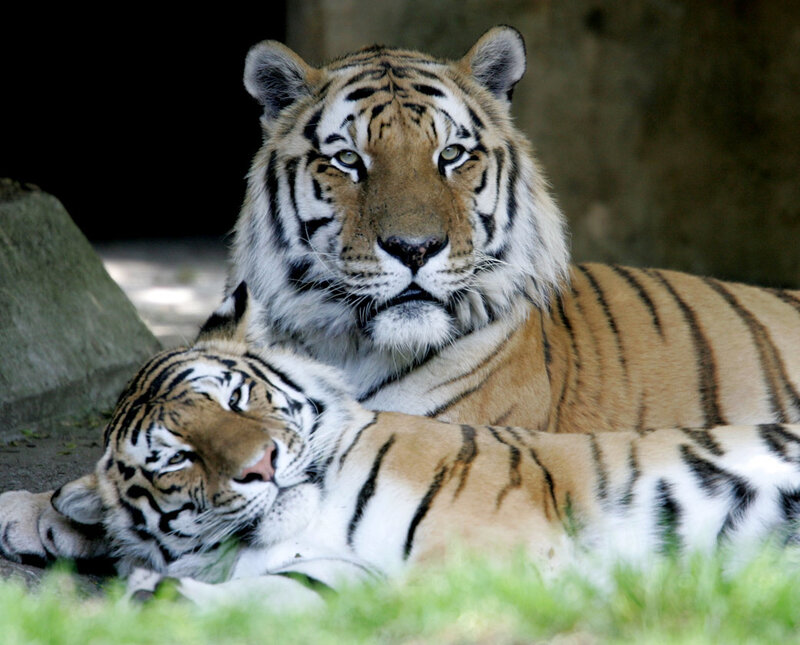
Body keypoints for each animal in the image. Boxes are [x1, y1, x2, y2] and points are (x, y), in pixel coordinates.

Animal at [42, 285, 800, 608]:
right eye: (178, 458)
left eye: (236, 399)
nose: (260, 466)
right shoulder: (337, 571)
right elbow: (280, 594)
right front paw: (159, 596)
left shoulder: (490, 540)